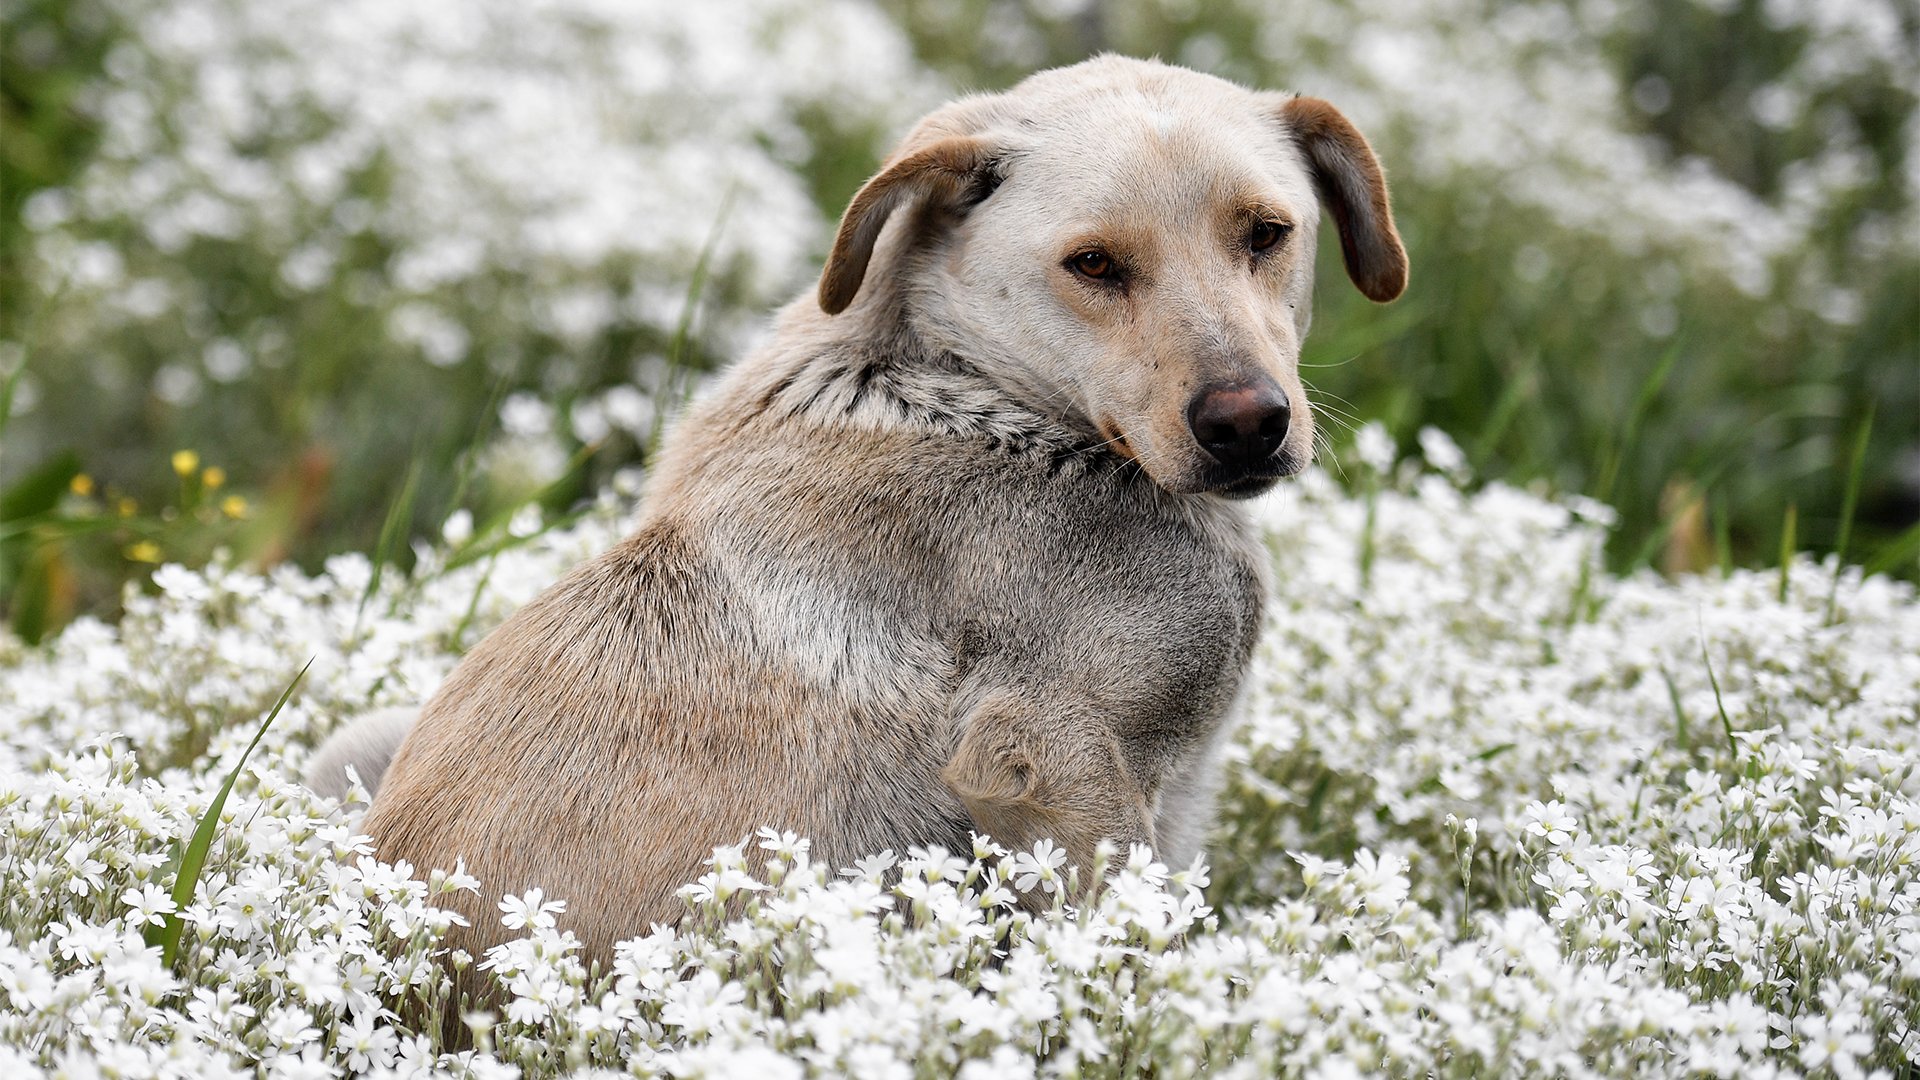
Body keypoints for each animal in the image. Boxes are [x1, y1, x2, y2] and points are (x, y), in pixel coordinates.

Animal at [307, 56, 1405, 968]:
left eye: (1266, 234)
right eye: (1093, 264)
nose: (1248, 424)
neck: (986, 389)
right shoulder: (1043, 758)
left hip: (360, 739)